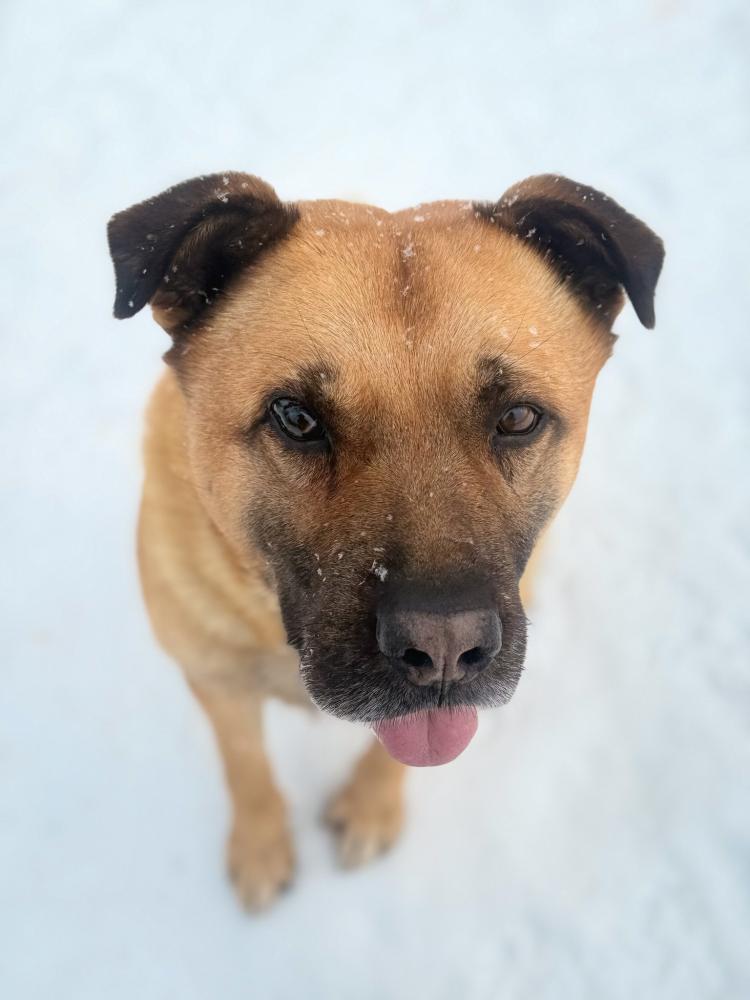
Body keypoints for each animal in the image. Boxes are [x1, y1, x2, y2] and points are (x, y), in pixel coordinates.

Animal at [108, 172, 664, 909]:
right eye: (296, 417)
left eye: (518, 417)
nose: (445, 648)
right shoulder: (214, 678)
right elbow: (245, 765)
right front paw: (260, 846)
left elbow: (390, 752)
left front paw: (371, 808)